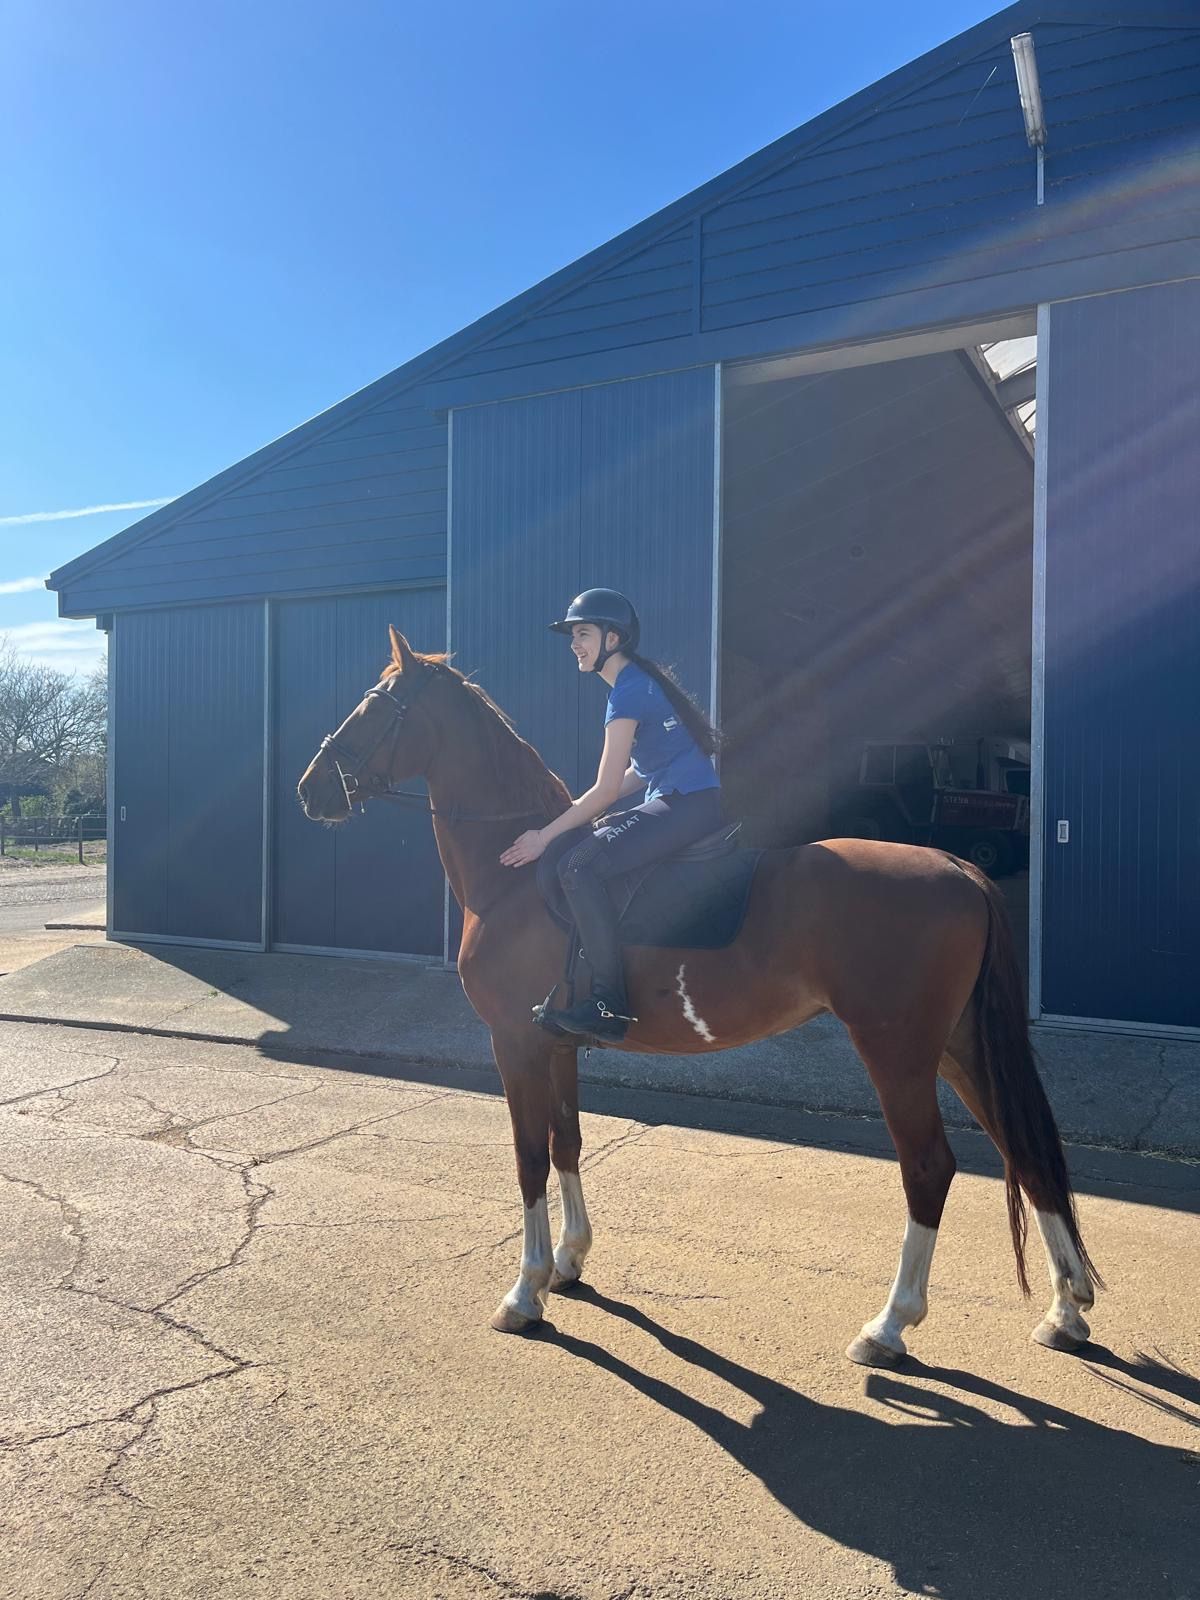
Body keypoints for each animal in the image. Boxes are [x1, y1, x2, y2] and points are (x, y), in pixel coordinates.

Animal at [296, 627, 1101, 1368]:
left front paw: (524, 1292)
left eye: (375, 706)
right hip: (959, 1046)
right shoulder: (557, 1044)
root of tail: (957, 867)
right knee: (1023, 1148)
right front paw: (569, 1263)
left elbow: (528, 1159)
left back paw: (890, 1326)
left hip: (898, 1050)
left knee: (929, 1167)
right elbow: (566, 1142)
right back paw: (1065, 1310)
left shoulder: (515, 1044)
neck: (518, 875)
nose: (310, 790)